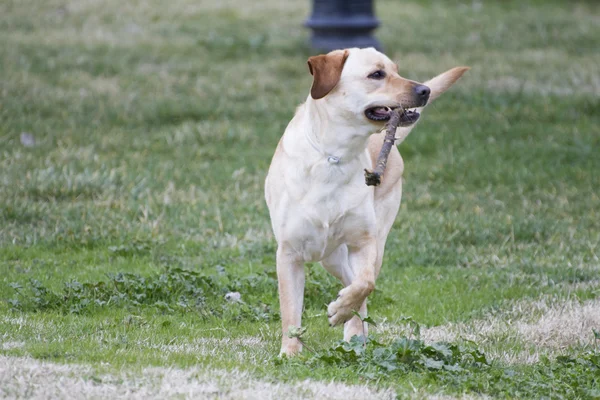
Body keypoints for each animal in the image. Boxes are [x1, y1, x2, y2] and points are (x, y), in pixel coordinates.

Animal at [264, 47, 466, 356]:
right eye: (376, 74)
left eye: (396, 70)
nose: (425, 90)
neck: (335, 155)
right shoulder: (289, 253)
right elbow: (290, 311)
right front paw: (290, 353)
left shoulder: (364, 242)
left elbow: (366, 284)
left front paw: (341, 311)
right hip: (331, 257)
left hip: (370, 241)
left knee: (359, 285)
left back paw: (351, 327)